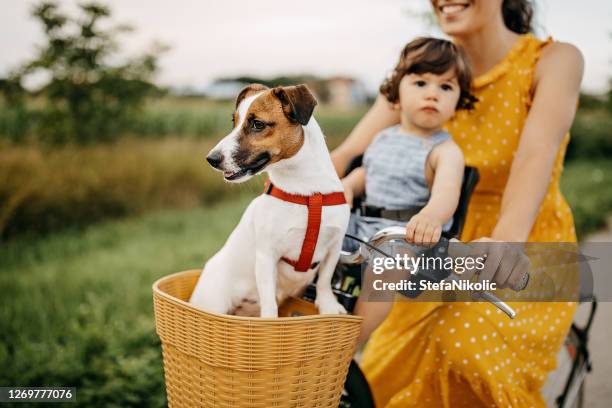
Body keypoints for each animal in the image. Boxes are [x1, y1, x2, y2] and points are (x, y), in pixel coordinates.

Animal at [189, 83, 350, 318]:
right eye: (233, 122)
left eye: (257, 124)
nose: (211, 159)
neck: (305, 191)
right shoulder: (266, 256)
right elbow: (269, 301)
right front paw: (270, 321)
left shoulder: (335, 246)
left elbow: (325, 280)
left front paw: (328, 305)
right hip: (213, 304)